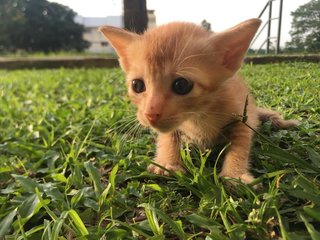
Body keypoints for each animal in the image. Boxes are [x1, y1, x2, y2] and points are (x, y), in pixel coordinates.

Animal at [99, 18, 298, 184]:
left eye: (181, 85)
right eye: (137, 85)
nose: (150, 114)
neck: (198, 115)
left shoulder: (242, 115)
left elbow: (240, 144)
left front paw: (235, 174)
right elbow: (168, 137)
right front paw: (167, 162)